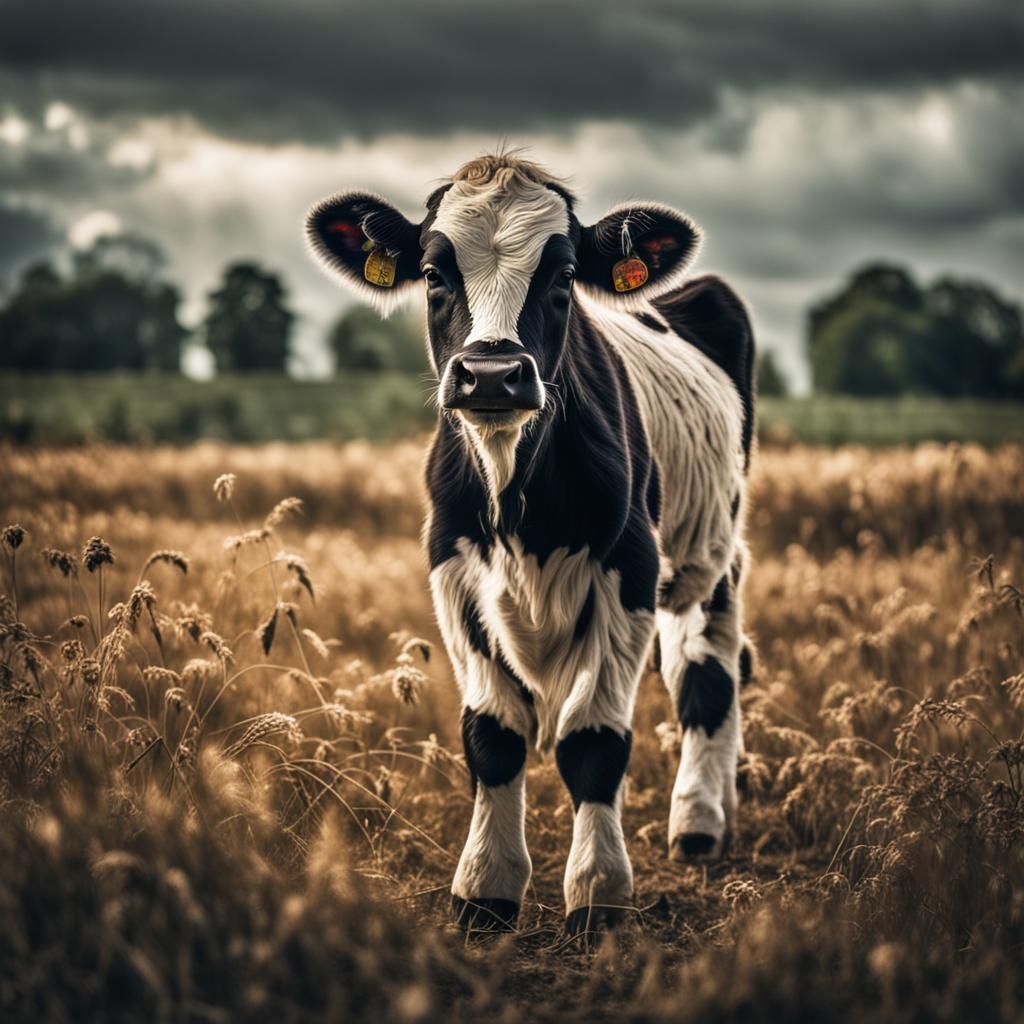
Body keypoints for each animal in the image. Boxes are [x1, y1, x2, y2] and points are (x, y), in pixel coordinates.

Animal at [306, 154, 755, 936]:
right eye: (434, 273)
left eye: (564, 275)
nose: (491, 373)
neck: (519, 497)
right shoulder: (453, 573)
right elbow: (494, 737)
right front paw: (485, 886)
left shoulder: (628, 571)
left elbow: (593, 741)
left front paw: (598, 892)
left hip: (712, 556)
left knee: (708, 676)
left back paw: (700, 819)